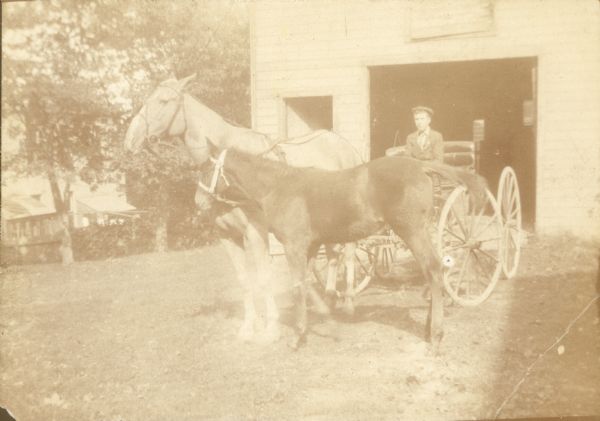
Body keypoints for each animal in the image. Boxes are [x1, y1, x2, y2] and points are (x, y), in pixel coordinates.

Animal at [124, 74, 364, 342]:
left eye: (164, 101)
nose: (129, 140)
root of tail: (346, 146)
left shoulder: (255, 232)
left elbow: (264, 277)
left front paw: (271, 327)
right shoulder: (227, 235)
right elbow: (245, 280)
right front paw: (249, 326)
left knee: (349, 253)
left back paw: (348, 303)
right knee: (333, 254)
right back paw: (329, 300)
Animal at [197, 148, 488, 352]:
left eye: (205, 171)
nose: (199, 204)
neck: (281, 186)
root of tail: (421, 165)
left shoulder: (294, 247)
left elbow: (298, 287)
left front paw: (297, 337)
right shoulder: (311, 247)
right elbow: (307, 284)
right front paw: (325, 315)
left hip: (412, 232)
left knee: (434, 269)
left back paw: (436, 336)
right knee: (434, 272)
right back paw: (429, 329)